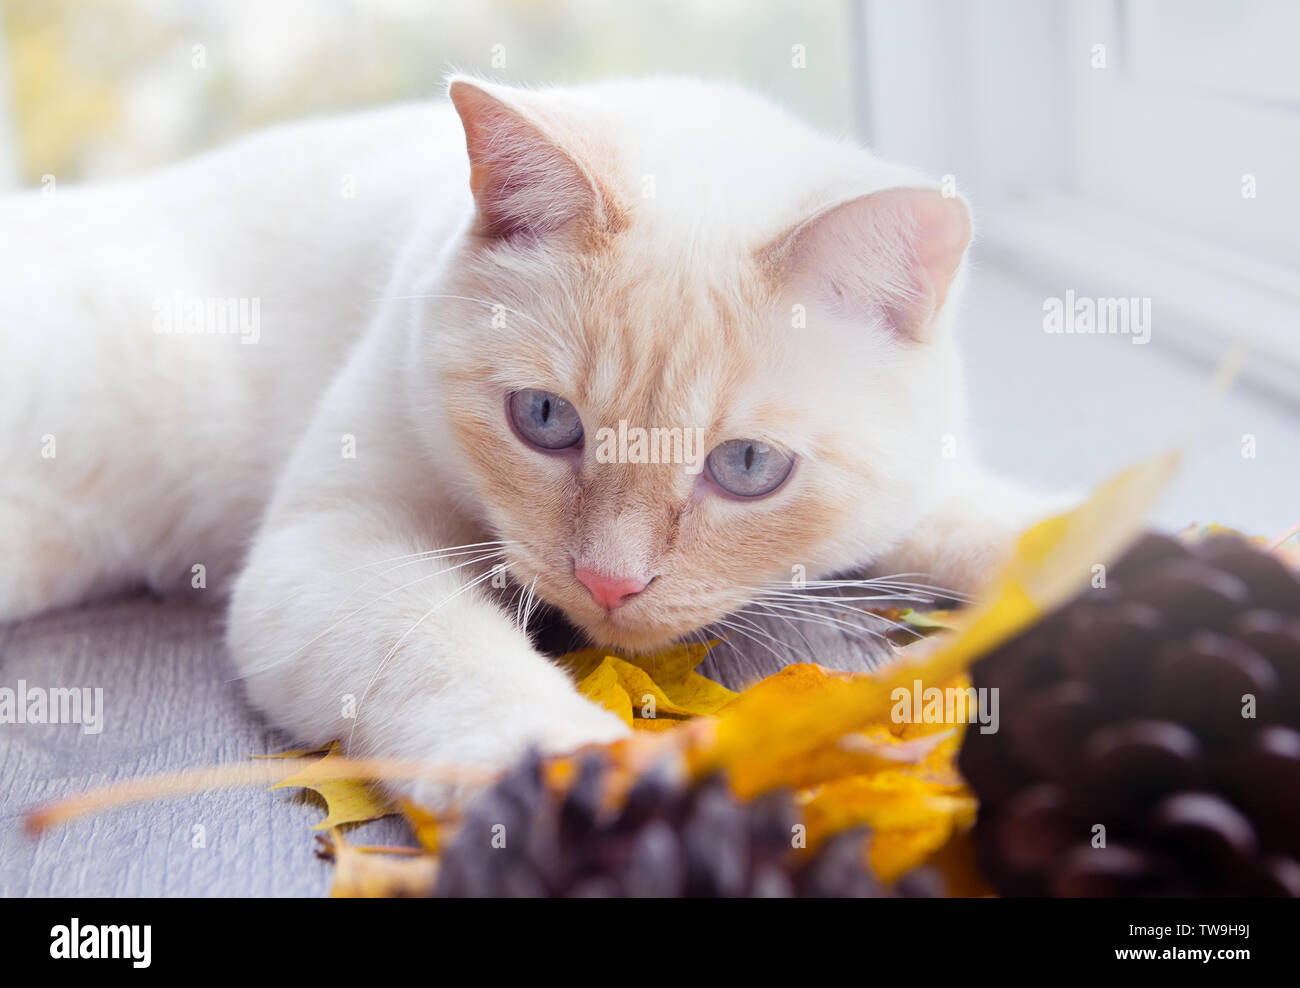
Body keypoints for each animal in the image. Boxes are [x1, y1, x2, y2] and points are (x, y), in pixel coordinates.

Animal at [0, 75, 1040, 800]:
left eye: (747, 467)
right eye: (545, 422)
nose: (610, 584)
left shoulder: (930, 492)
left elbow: (1018, 528)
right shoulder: (334, 544)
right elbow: (454, 657)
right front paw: (581, 782)